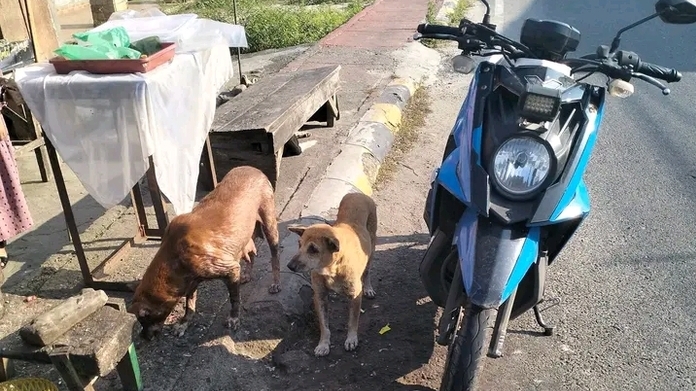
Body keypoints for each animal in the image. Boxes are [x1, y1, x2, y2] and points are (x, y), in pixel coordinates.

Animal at [129, 165, 282, 340]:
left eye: (143, 319)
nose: (144, 338)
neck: (174, 256)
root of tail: (254, 169)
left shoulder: (230, 270)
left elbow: (234, 299)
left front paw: (234, 318)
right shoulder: (191, 281)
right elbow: (189, 306)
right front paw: (183, 324)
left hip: (269, 225)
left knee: (275, 257)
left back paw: (276, 283)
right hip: (243, 238)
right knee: (251, 255)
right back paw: (248, 275)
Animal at [286, 193, 378, 358]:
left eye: (313, 249)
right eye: (299, 244)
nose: (290, 266)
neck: (332, 268)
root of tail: (358, 194)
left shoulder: (355, 295)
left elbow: (353, 320)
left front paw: (351, 338)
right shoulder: (320, 296)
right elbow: (324, 325)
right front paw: (323, 344)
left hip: (372, 247)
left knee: (367, 271)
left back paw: (368, 287)